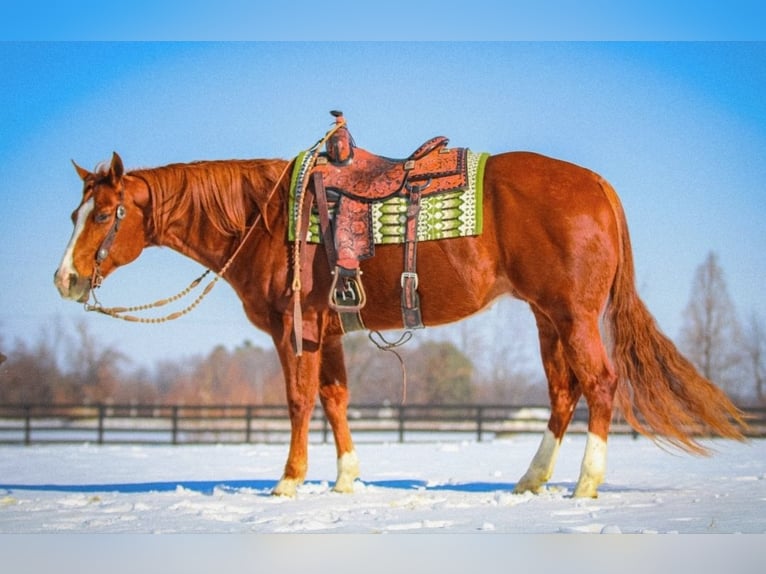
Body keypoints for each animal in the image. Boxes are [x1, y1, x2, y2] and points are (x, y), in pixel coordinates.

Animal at [54, 144, 746, 498]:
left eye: (102, 214)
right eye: (74, 213)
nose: (65, 279)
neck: (264, 217)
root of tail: (598, 183)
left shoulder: (295, 330)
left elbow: (299, 400)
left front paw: (288, 482)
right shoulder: (329, 331)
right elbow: (335, 398)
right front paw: (345, 481)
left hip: (574, 316)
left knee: (599, 387)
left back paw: (584, 486)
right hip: (548, 317)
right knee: (563, 392)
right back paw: (530, 481)